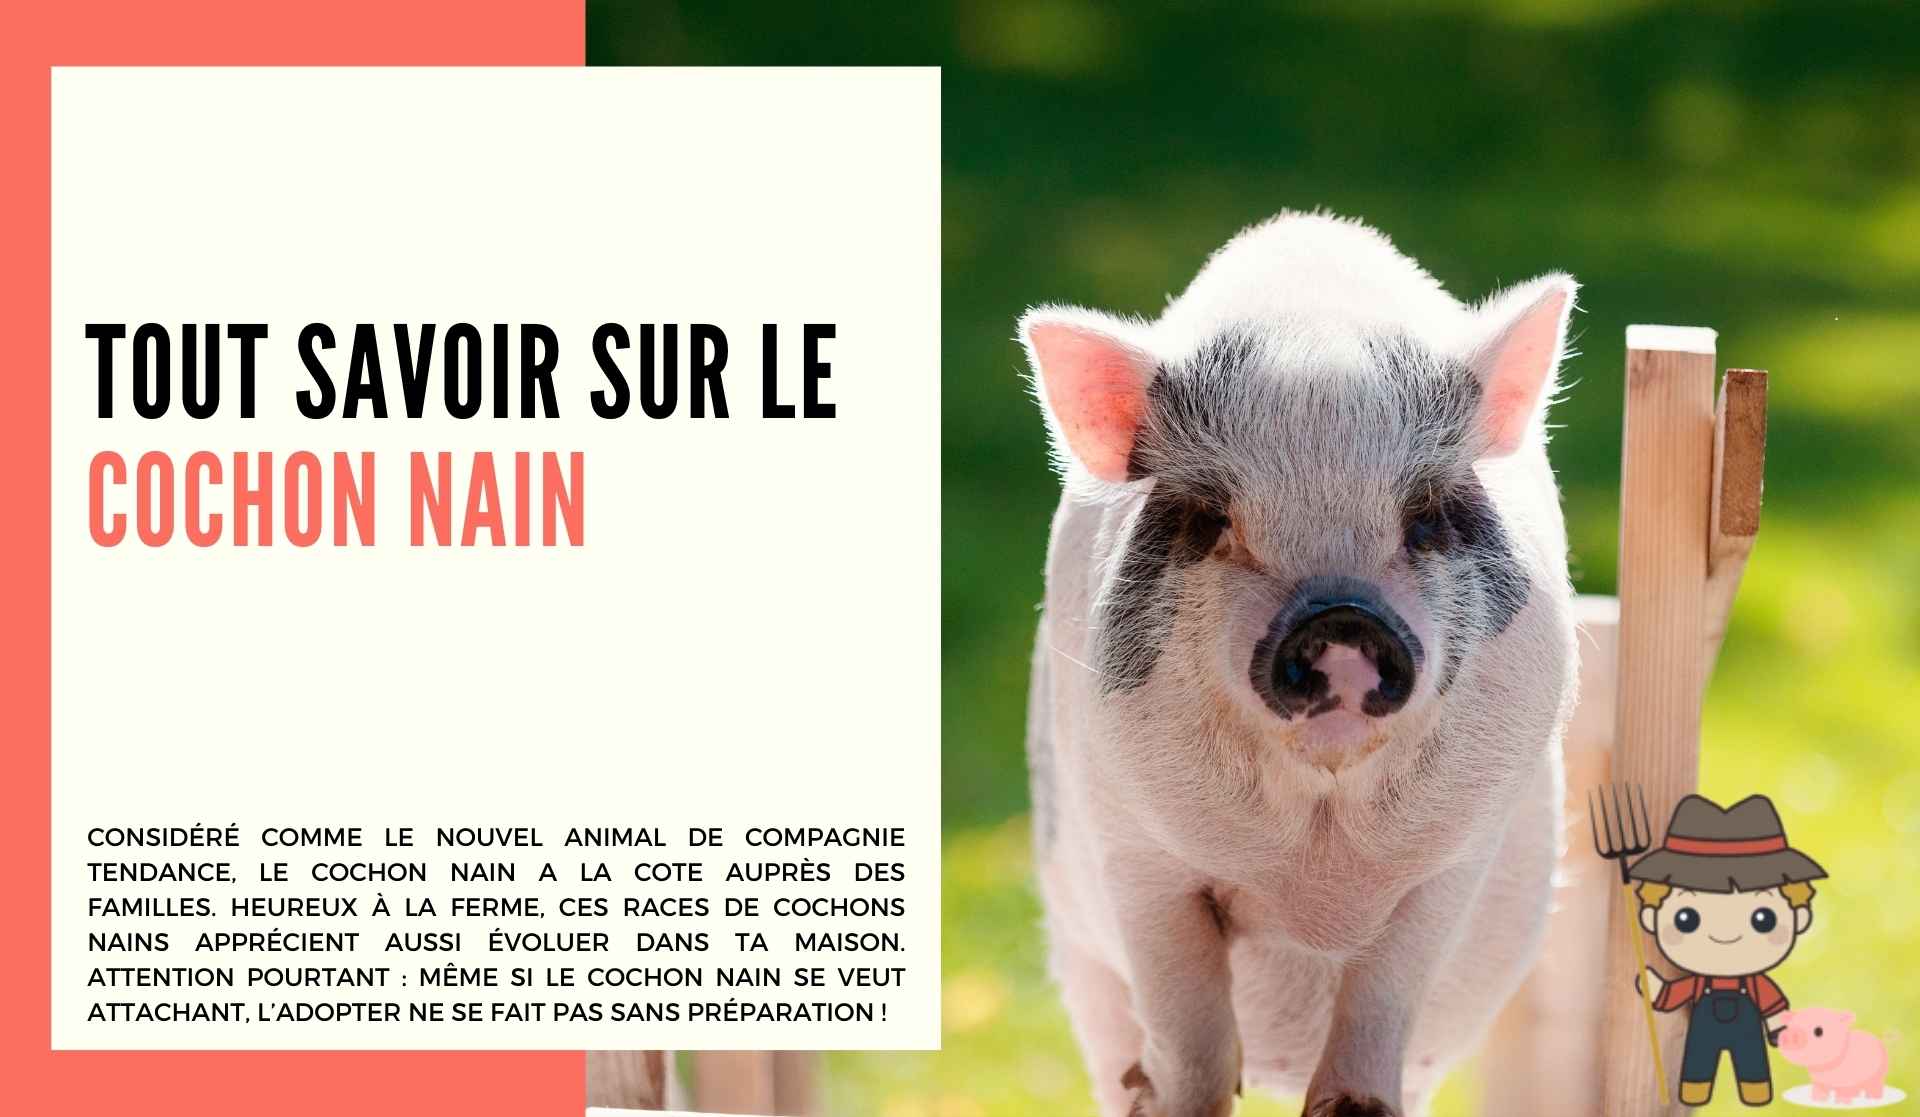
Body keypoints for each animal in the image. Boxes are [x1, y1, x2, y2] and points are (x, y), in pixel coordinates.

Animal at [1021, 212, 1580, 1117]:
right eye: (1213, 519)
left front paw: (1353, 1106)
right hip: (1081, 960)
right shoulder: (1136, 852)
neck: (1316, 883)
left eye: (1425, 517)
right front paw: (1177, 1096)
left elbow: (1384, 998)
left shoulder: (1456, 858)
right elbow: (1191, 1031)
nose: (1342, 620)